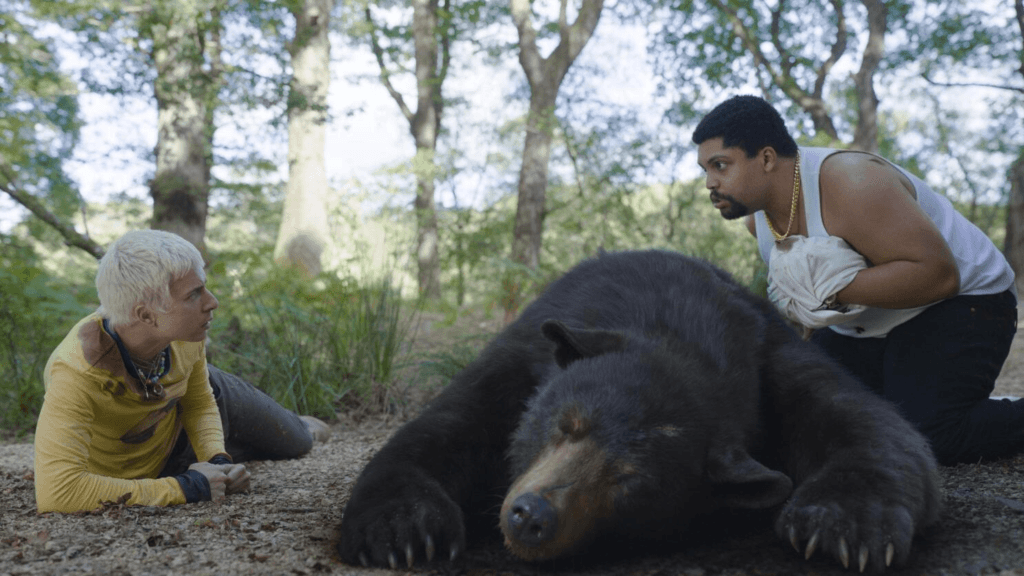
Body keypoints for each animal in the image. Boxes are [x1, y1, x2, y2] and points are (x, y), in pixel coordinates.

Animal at [337, 249, 941, 572]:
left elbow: (873, 426)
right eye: (565, 425)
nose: (532, 515)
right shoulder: (525, 353)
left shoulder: (772, 354)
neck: (678, 325)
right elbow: (445, 428)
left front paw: (844, 525)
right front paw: (406, 529)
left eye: (629, 480)